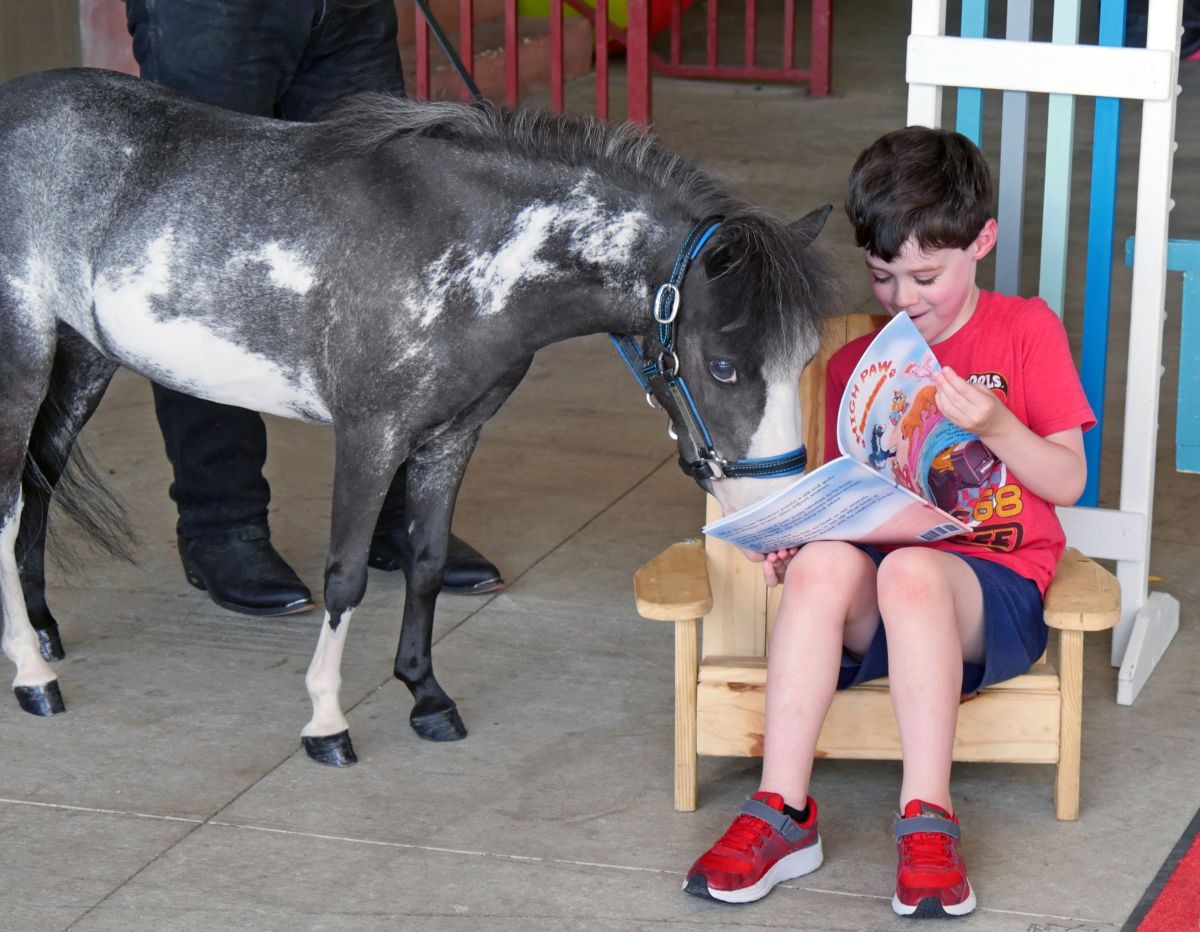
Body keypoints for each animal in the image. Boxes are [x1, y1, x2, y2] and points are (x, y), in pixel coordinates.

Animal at [0, 68, 836, 766]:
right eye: (723, 367)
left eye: (804, 358)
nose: (782, 512)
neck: (464, 253)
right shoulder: (371, 437)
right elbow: (344, 577)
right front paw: (326, 722)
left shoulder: (453, 437)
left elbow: (426, 562)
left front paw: (426, 697)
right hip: (24, 362)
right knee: (8, 503)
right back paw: (34, 677)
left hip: (83, 359)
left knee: (38, 485)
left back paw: (39, 632)